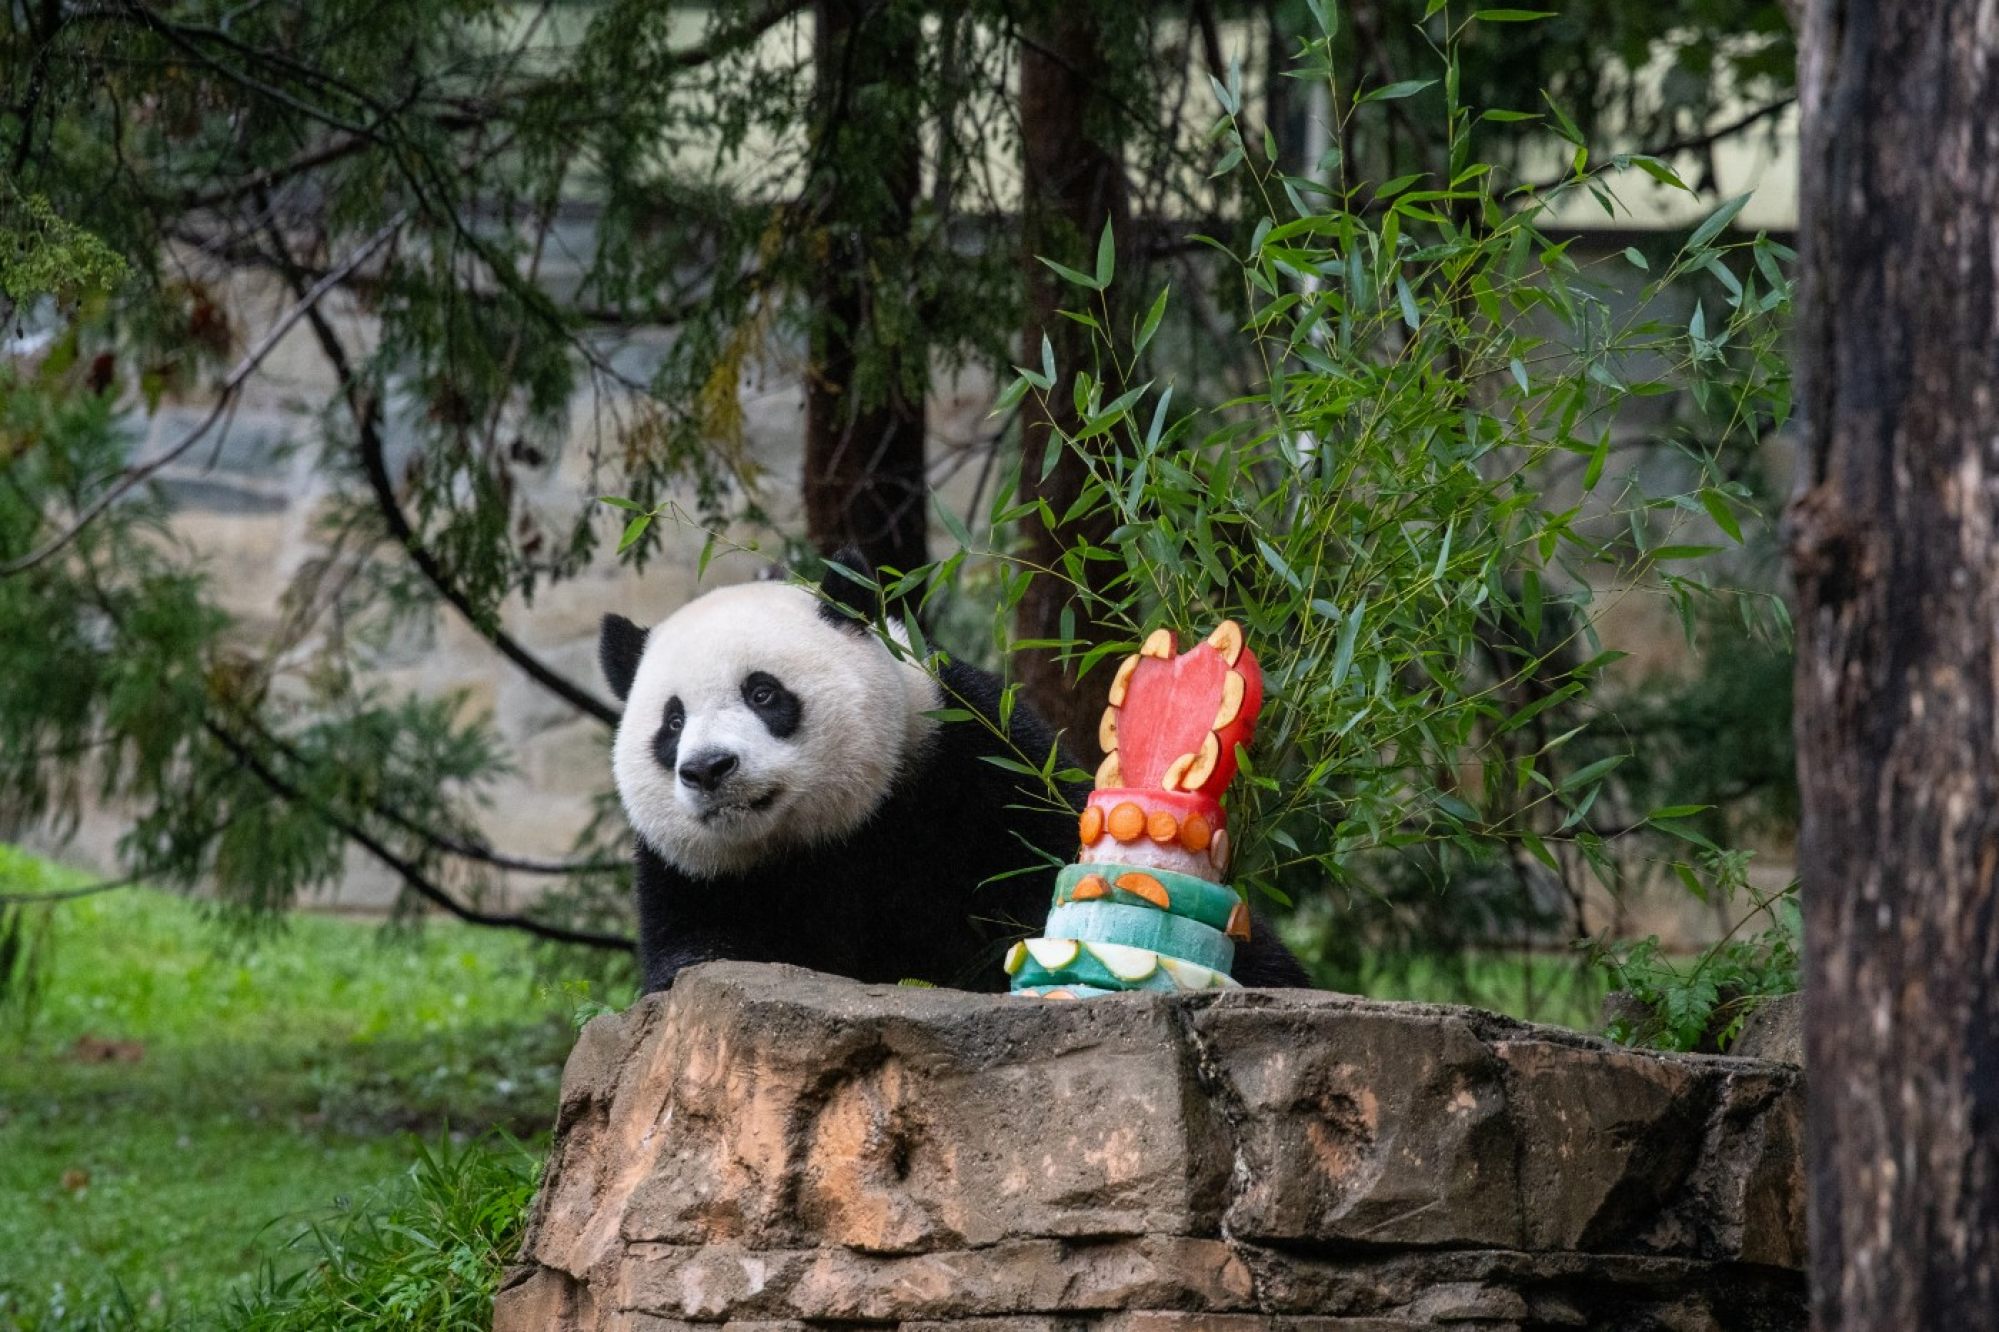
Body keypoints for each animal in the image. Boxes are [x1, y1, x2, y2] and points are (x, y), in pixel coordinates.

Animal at [591, 544, 1311, 992]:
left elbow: (1037, 867)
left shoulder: (968, 764)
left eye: (763, 693)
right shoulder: (693, 873)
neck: (823, 838)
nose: (709, 768)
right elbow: (693, 948)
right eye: (672, 723)